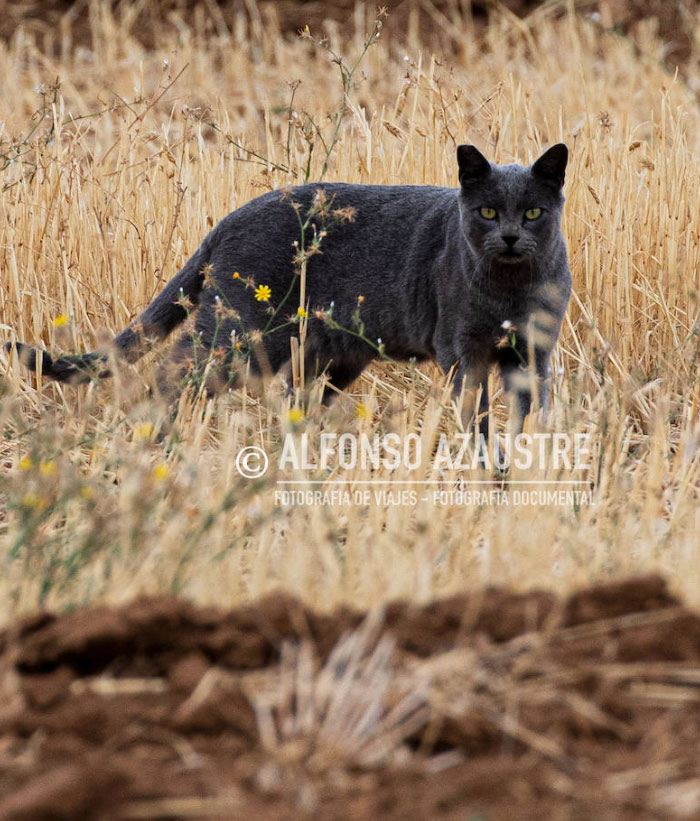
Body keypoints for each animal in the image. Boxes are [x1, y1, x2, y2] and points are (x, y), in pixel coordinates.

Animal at [5, 143, 572, 432]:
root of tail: (231, 217)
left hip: (328, 357)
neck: (509, 286)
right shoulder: (463, 351)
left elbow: (532, 413)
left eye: (533, 212)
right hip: (240, 336)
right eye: (488, 212)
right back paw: (154, 439)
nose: (509, 236)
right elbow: (478, 418)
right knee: (170, 375)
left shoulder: (533, 352)